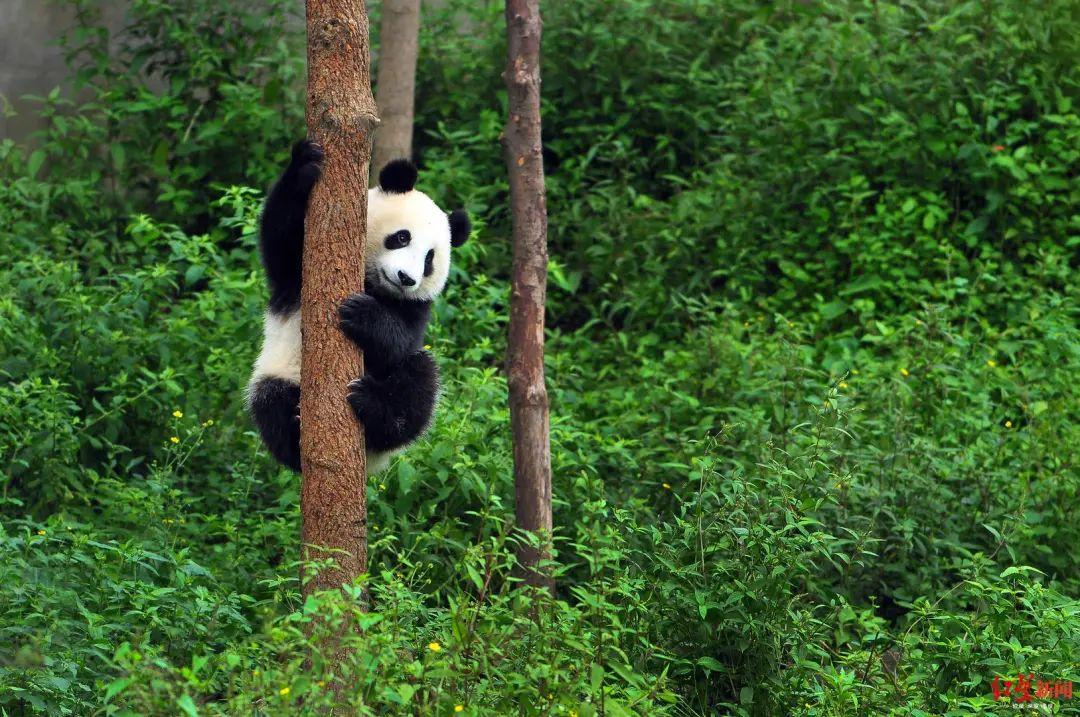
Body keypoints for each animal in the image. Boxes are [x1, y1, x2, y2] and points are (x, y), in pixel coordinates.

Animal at [247, 142, 470, 472]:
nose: (406, 278)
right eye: (401, 237)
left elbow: (401, 341)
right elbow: (279, 240)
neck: (373, 283)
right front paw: (305, 162)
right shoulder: (293, 277)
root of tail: (370, 457)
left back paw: (373, 406)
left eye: (429, 259)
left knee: (419, 380)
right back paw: (296, 427)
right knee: (270, 402)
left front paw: (361, 314)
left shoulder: (416, 307)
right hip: (278, 372)